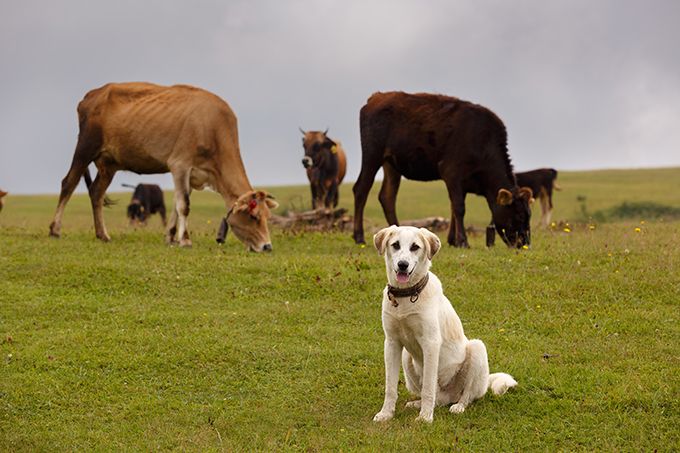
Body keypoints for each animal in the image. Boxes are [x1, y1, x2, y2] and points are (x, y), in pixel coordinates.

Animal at [49, 81, 278, 251]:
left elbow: (177, 204)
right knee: (68, 183)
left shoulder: (192, 175)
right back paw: (55, 229)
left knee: (96, 192)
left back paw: (103, 234)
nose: (267, 246)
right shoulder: (180, 165)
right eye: (253, 216)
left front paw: (170, 237)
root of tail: (93, 94)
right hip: (85, 147)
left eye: (267, 217)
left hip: (109, 164)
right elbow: (184, 205)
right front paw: (185, 240)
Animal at [354, 91, 532, 247]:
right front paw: (463, 241)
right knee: (361, 189)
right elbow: (459, 207)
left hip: (391, 164)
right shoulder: (452, 173)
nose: (525, 243)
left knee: (387, 197)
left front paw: (453, 240)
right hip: (372, 155)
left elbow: (453, 207)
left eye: (529, 215)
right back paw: (359, 237)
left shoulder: (461, 183)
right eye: (518, 215)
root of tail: (376, 97)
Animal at [372, 224, 516, 422]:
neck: (406, 296)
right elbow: (391, 386)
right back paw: (416, 404)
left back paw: (457, 407)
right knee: (437, 398)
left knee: (465, 395)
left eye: (415, 247)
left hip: (477, 348)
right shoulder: (392, 343)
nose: (402, 265)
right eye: (395, 245)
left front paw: (425, 418)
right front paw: (386, 413)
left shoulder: (431, 343)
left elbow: (428, 387)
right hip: (406, 357)